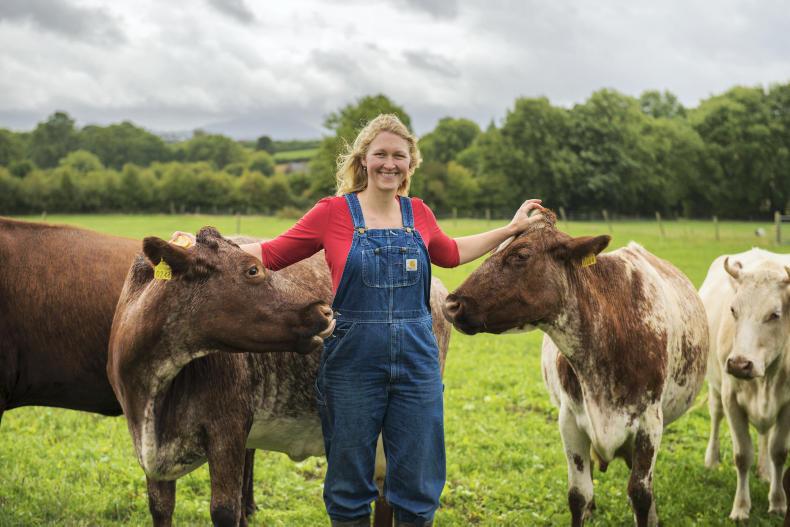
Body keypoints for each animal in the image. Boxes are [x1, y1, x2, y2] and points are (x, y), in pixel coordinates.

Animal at [442, 211, 708, 527]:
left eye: (520, 255)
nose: (451, 304)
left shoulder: (650, 421)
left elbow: (641, 494)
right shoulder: (569, 419)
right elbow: (579, 494)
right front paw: (587, 506)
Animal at [700, 250, 790, 520]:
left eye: (774, 314)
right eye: (733, 309)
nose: (739, 364)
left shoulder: (787, 405)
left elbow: (778, 452)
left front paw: (778, 501)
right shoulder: (731, 399)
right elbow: (742, 456)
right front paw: (740, 507)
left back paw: (765, 472)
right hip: (715, 387)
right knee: (716, 417)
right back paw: (712, 459)